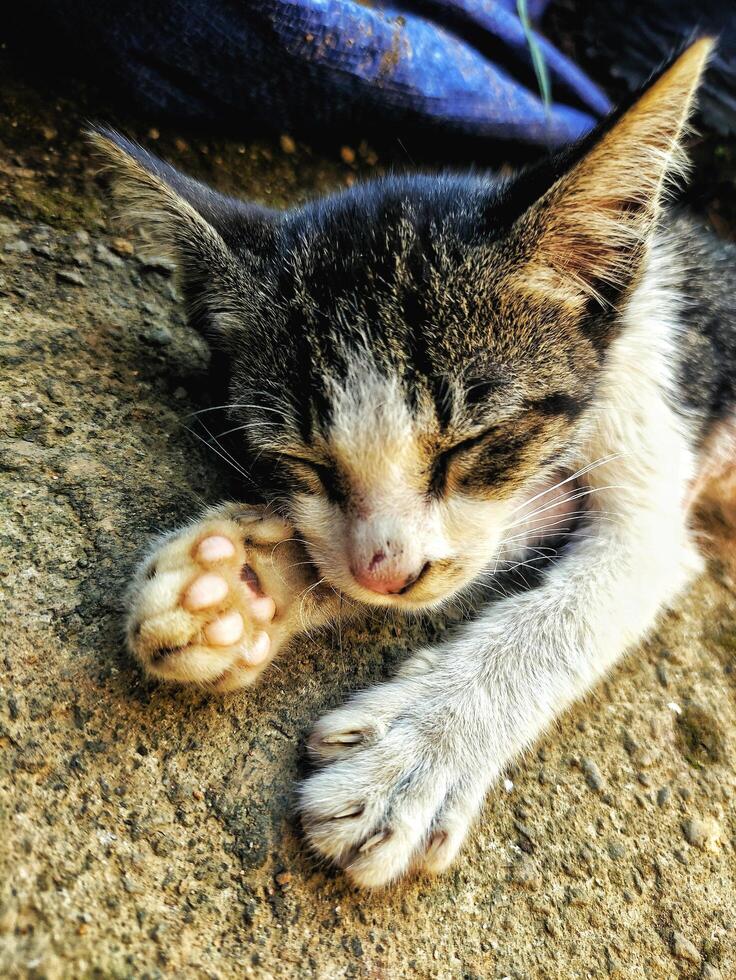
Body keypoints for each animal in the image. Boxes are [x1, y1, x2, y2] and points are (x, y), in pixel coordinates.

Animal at [90, 40, 736, 888]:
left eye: (468, 445)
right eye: (300, 459)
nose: (387, 575)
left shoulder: (649, 428)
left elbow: (571, 610)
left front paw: (418, 756)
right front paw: (240, 588)